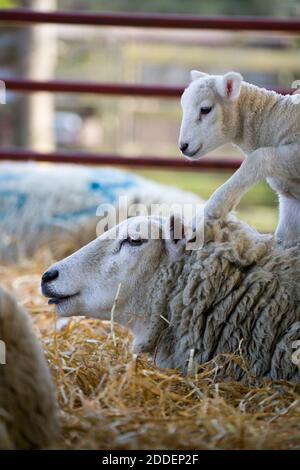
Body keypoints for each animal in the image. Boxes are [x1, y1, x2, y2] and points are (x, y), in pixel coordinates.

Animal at [179, 72, 300, 246]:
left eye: (205, 110)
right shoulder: (290, 202)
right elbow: (283, 238)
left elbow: (258, 157)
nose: (183, 146)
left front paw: (212, 210)